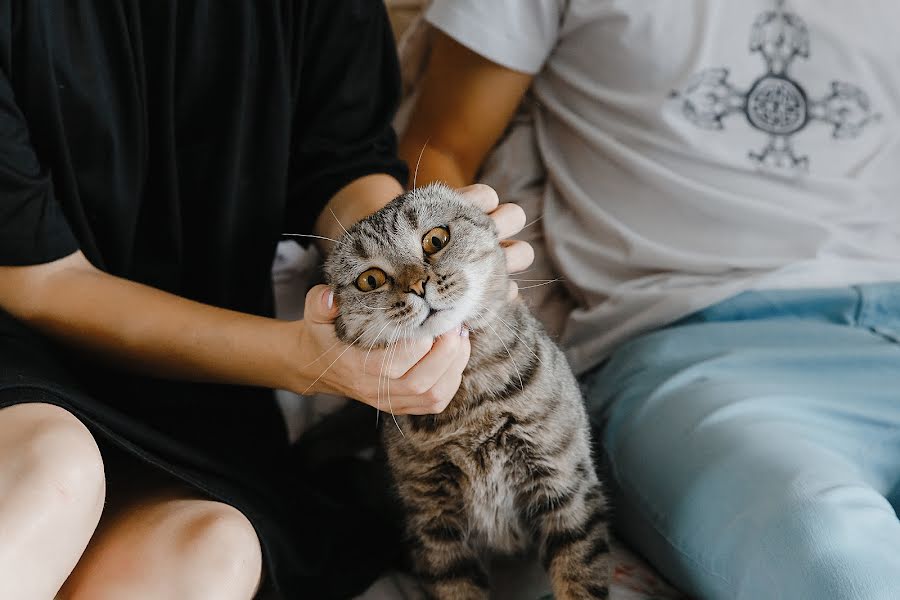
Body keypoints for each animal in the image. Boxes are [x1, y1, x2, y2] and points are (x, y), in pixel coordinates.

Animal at [324, 184, 612, 600]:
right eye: (370, 280)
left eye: (435, 239)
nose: (418, 285)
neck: (472, 406)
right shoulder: (434, 524)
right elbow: (456, 585)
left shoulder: (564, 486)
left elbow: (579, 577)